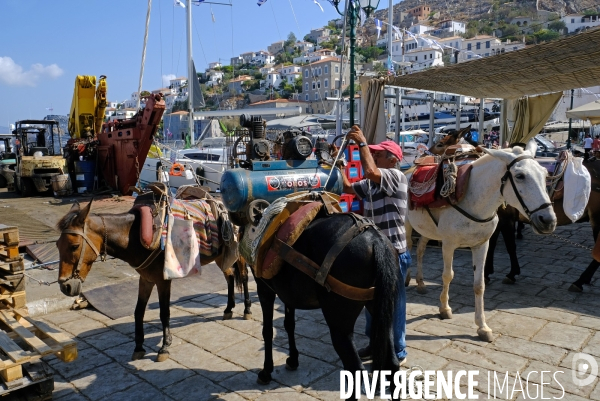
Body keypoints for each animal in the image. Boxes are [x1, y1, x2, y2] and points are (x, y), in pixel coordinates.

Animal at [56, 198, 251, 360]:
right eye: (57, 245)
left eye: (74, 246)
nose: (65, 286)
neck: (135, 236)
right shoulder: (146, 279)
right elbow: (138, 311)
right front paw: (138, 347)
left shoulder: (163, 281)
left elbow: (164, 312)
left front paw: (164, 347)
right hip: (222, 256)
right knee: (230, 277)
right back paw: (228, 309)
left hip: (238, 253)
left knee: (244, 277)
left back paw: (247, 309)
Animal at [406, 141, 556, 340]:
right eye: (520, 176)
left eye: (545, 174)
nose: (548, 220)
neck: (474, 200)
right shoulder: (448, 244)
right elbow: (447, 275)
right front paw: (444, 308)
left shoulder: (481, 245)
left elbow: (479, 285)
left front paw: (482, 326)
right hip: (406, 224)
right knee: (407, 248)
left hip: (426, 230)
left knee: (420, 250)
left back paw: (421, 283)